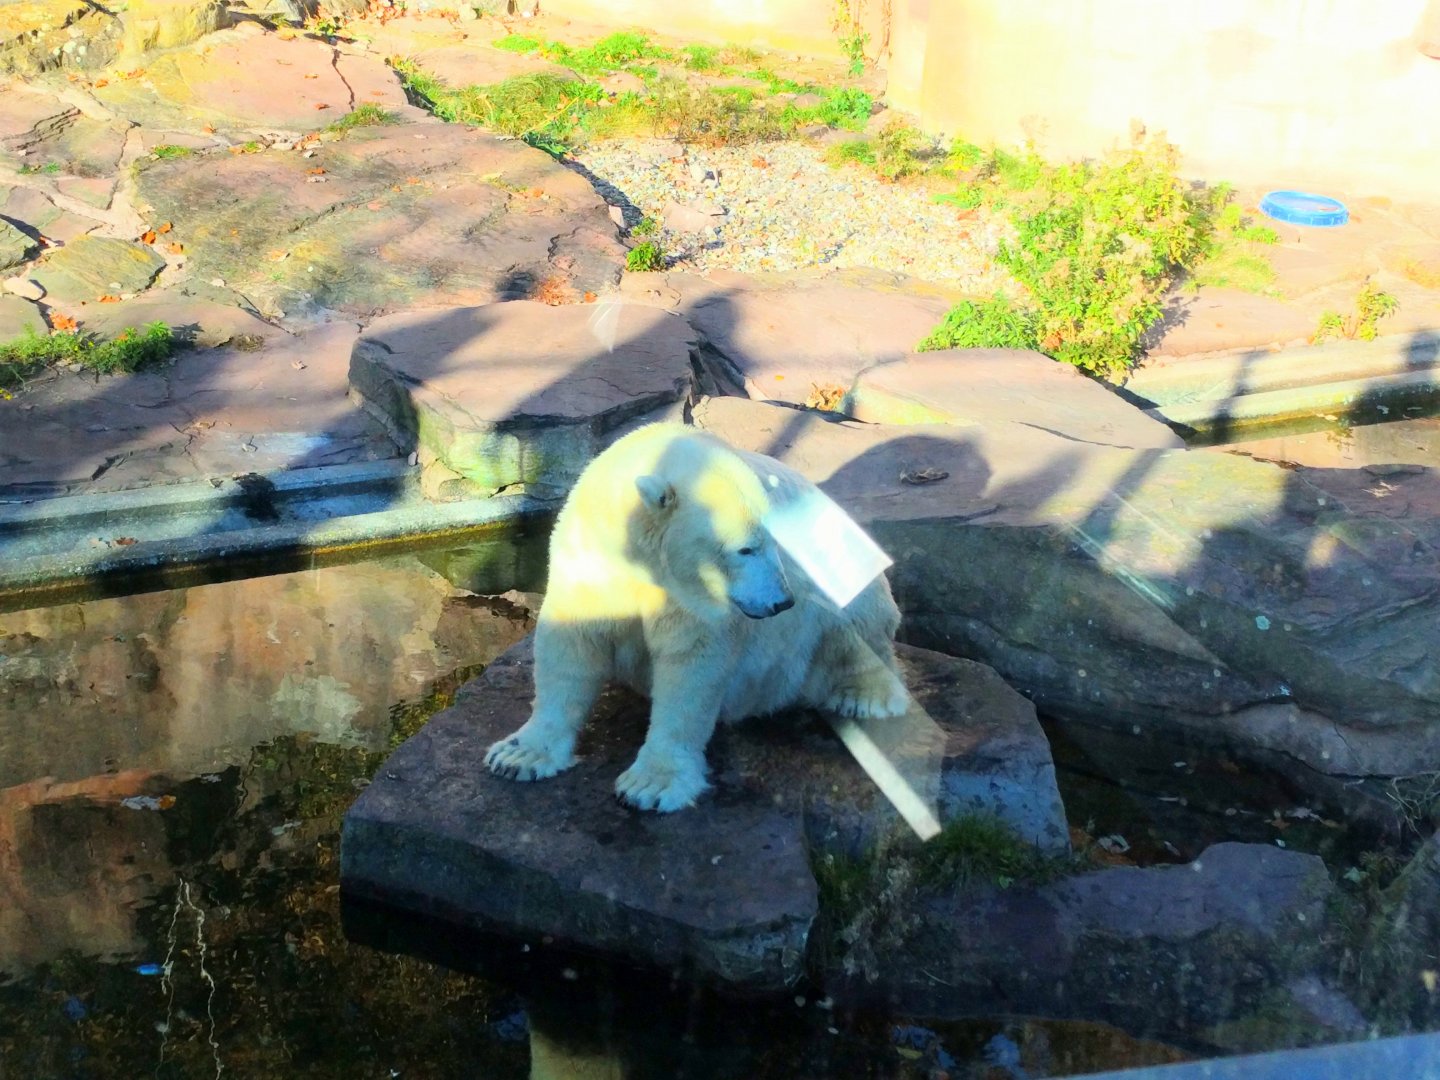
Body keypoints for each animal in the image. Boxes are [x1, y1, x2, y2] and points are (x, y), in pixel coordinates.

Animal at [483, 422, 909, 812]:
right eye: (745, 549)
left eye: (775, 542)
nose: (781, 603)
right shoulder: (590, 557)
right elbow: (571, 646)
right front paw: (517, 755)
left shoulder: (696, 598)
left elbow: (690, 669)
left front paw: (650, 785)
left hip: (841, 577)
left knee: (856, 621)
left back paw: (866, 696)